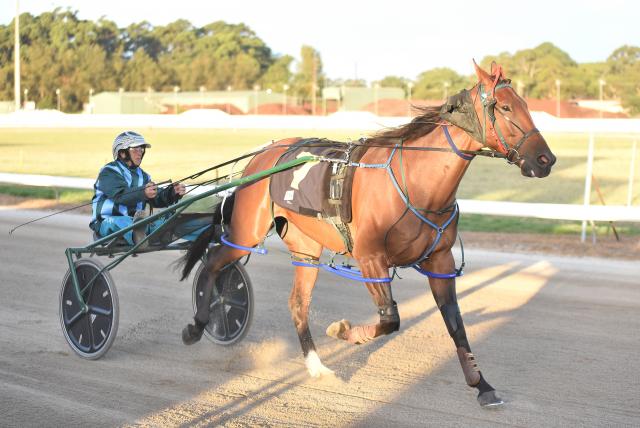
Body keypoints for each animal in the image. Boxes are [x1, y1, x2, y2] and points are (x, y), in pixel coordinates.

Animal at [179, 59, 556, 404]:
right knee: (214, 263)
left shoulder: (440, 260)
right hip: (247, 232)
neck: (417, 183)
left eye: (526, 105)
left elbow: (455, 322)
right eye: (505, 107)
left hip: (306, 248)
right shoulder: (370, 258)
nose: (546, 160)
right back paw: (197, 326)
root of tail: (267, 152)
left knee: (297, 303)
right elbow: (390, 319)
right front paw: (343, 330)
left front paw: (482, 385)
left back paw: (317, 367)